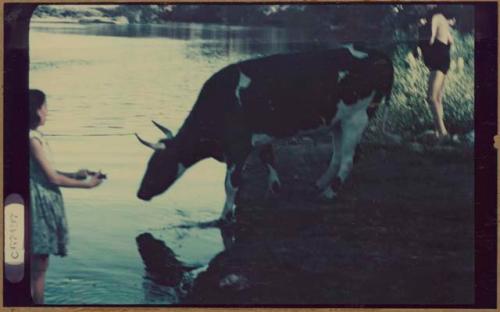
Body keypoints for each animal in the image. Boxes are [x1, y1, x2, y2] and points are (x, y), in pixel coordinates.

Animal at [137, 45, 394, 222]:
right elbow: (268, 158)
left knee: (349, 159)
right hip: (338, 121)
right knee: (338, 155)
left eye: (157, 164)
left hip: (357, 117)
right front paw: (274, 188)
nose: (139, 193)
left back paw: (329, 192)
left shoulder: (238, 146)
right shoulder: (259, 137)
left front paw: (225, 216)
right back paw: (321, 183)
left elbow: (230, 184)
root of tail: (379, 54)